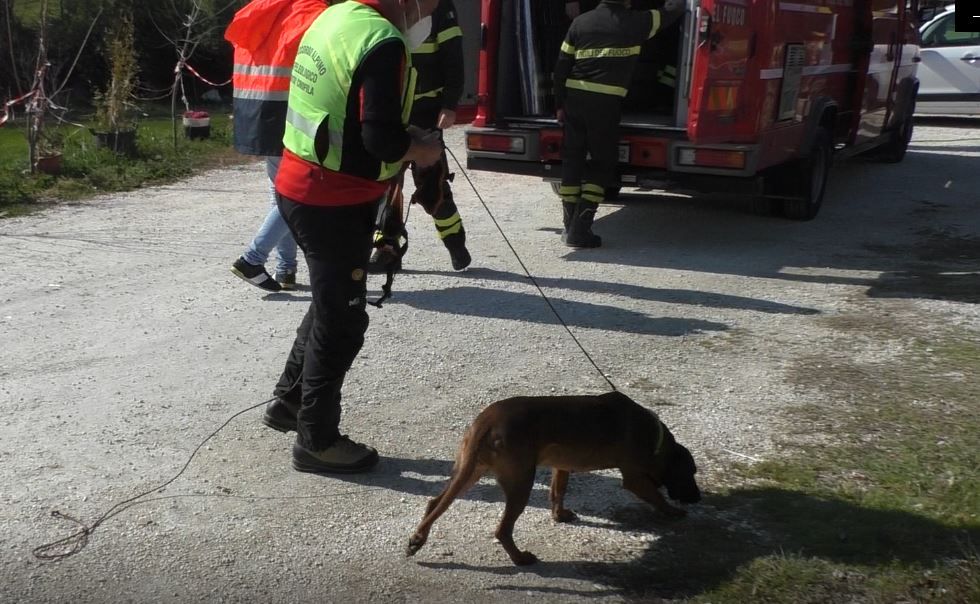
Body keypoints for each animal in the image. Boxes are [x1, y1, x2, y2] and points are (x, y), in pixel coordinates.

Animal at [404, 392, 696, 568]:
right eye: (690, 473)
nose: (697, 497)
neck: (654, 437)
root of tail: (485, 422)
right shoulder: (634, 478)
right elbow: (657, 497)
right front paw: (673, 512)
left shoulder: (561, 466)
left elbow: (558, 491)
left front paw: (560, 515)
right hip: (520, 482)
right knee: (502, 530)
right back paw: (521, 559)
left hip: (470, 471)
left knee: (434, 503)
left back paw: (418, 540)